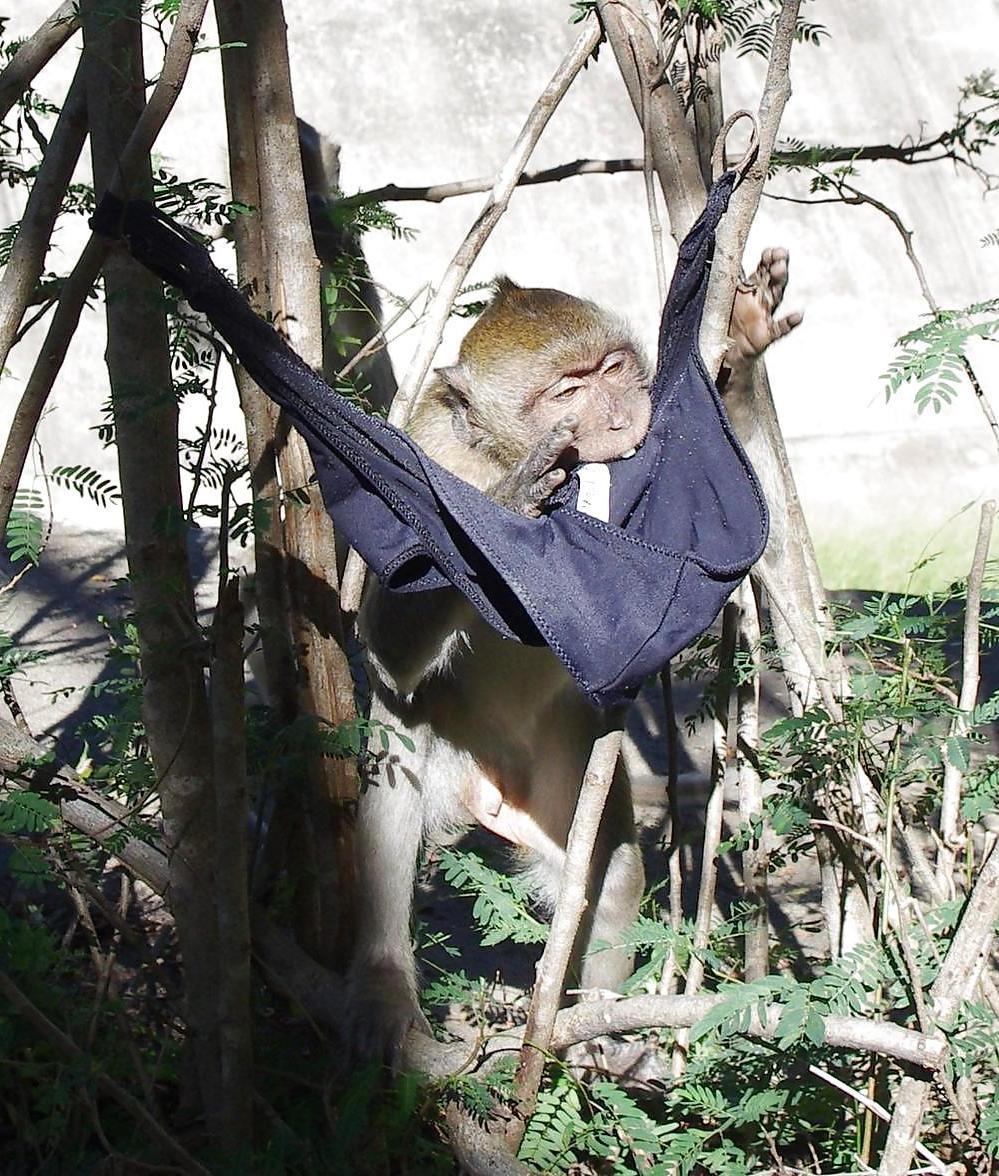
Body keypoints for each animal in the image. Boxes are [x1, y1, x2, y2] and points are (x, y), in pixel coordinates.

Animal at [347, 256, 800, 1064]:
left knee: (609, 869)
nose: (621, 416)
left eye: (612, 370)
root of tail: (486, 793)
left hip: (563, 772)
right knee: (394, 774)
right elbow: (388, 644)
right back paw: (386, 988)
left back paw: (590, 1030)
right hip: (446, 752)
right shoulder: (428, 454)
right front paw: (506, 502)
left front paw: (743, 360)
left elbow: (741, 550)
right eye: (567, 390)